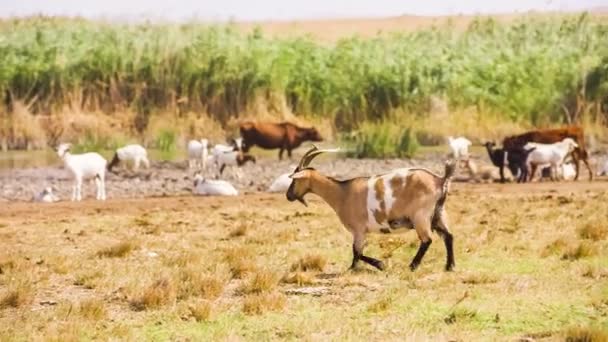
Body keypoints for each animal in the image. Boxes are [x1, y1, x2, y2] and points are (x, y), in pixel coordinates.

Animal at [286, 146, 456, 272]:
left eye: (294, 180)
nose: (288, 195)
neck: (342, 193)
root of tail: (440, 180)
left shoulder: (359, 229)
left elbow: (357, 251)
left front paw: (376, 265)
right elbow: (357, 252)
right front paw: (355, 268)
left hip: (421, 216)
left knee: (427, 240)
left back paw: (412, 266)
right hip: (439, 213)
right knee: (448, 236)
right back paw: (450, 267)